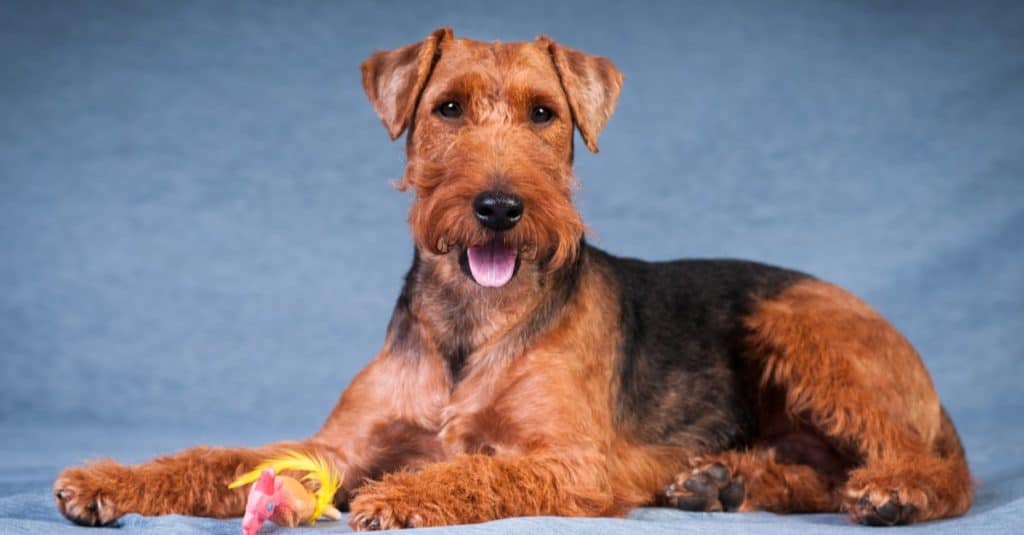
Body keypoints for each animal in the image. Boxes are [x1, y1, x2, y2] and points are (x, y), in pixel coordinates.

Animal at [54, 28, 966, 524]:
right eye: (447, 107)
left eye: (544, 113)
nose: (499, 207)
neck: (471, 325)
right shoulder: (335, 446)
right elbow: (221, 457)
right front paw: (108, 481)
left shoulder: (574, 459)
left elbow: (479, 465)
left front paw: (404, 495)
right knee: (818, 471)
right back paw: (721, 481)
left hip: (803, 332)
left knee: (924, 466)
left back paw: (893, 492)